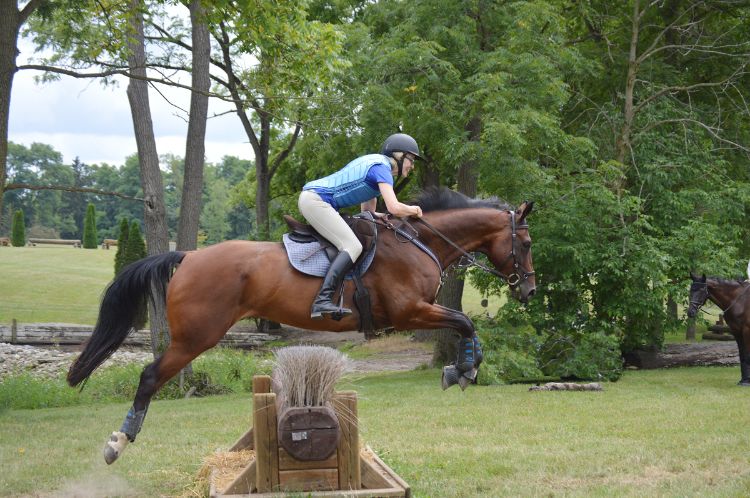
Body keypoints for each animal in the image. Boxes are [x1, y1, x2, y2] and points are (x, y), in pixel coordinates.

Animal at [66, 187, 536, 462]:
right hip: (196, 337)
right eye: (527, 242)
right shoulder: (410, 311)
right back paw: (118, 441)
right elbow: (465, 322)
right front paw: (463, 370)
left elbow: (465, 326)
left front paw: (465, 368)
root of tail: (189, 256)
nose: (529, 291)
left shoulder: (418, 310)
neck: (420, 242)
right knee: (149, 376)